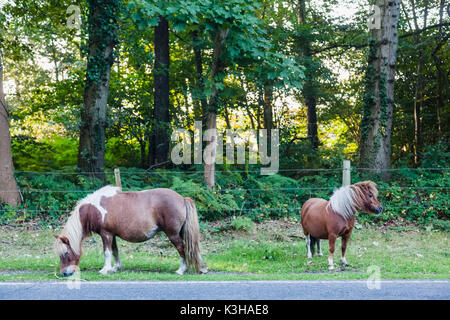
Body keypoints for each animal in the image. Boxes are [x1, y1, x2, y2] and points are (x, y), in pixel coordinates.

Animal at [54, 186, 207, 276]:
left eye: (66, 253)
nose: (64, 274)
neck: (94, 209)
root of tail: (182, 198)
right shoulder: (112, 235)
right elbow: (115, 252)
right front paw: (115, 268)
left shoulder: (106, 234)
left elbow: (107, 252)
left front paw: (105, 270)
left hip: (173, 234)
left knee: (181, 248)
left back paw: (181, 270)